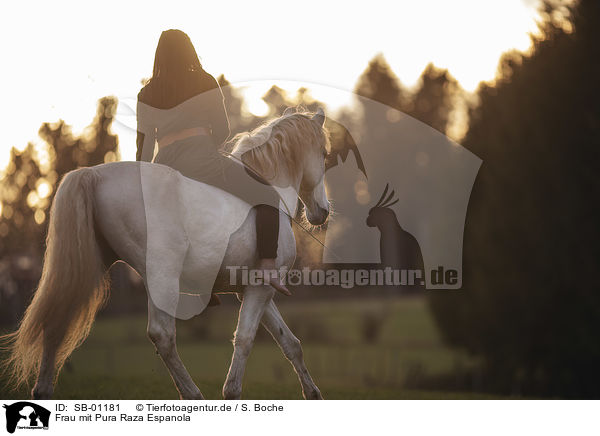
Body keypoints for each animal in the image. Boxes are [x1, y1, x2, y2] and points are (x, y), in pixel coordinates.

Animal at [2, 108, 330, 398]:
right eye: (325, 154)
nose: (323, 212)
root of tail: (92, 174)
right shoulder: (260, 288)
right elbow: (245, 340)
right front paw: (231, 393)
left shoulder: (253, 290)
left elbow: (290, 343)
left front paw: (313, 394)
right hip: (162, 276)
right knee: (162, 335)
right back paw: (193, 394)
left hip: (86, 268)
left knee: (56, 322)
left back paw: (43, 391)